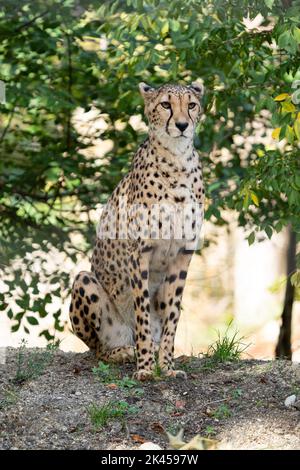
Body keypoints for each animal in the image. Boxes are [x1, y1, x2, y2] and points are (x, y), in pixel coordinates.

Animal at [69, 81, 205, 380]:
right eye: (165, 104)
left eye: (191, 105)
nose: (181, 125)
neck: (177, 159)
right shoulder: (140, 252)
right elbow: (141, 311)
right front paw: (145, 369)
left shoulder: (183, 253)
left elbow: (172, 315)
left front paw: (166, 366)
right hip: (85, 281)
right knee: (100, 350)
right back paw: (125, 351)